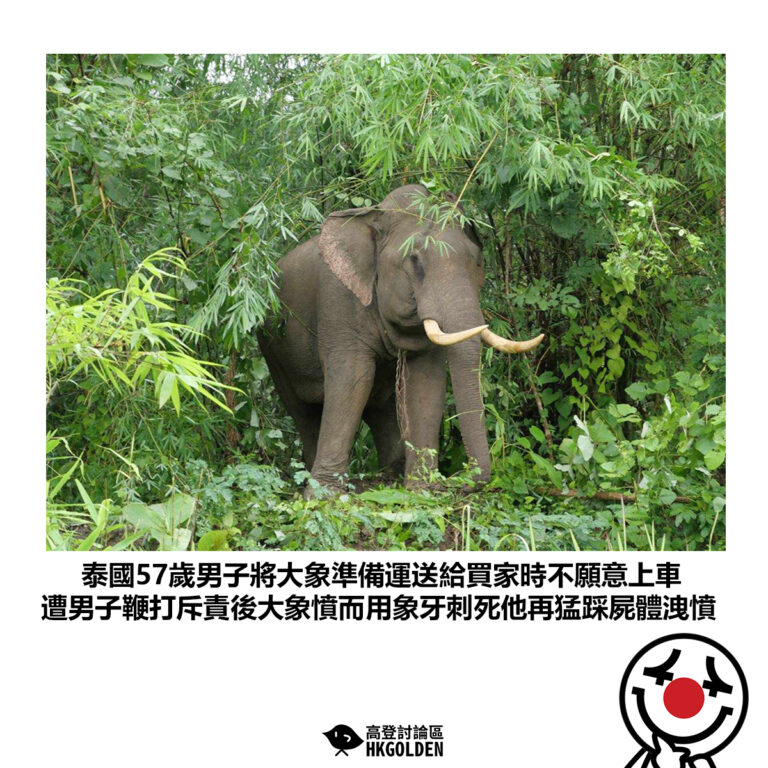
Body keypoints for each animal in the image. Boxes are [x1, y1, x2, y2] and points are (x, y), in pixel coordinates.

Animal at [257, 184, 544, 495]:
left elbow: (425, 383)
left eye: (478, 261)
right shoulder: (338, 304)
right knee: (303, 409)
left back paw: (391, 472)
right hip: (271, 348)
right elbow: (352, 379)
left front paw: (422, 488)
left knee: (379, 407)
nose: (461, 478)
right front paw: (324, 494)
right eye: (415, 260)